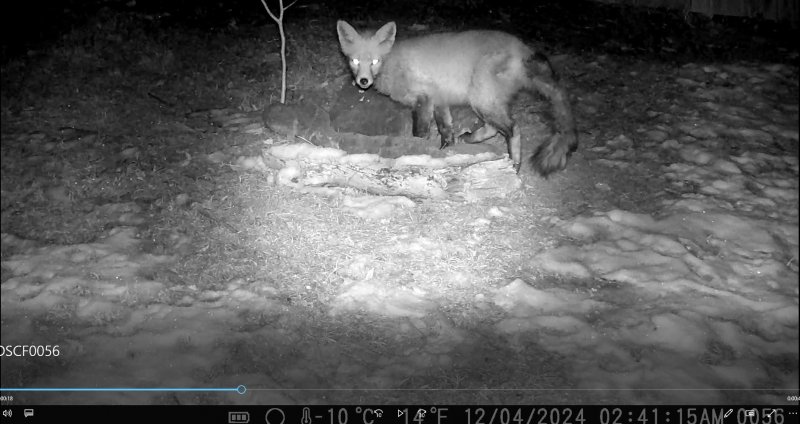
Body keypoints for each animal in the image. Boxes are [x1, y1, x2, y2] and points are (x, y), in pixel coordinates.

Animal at [336, 20, 578, 176]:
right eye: (355, 61)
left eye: (374, 61)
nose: (363, 81)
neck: (392, 63)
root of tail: (523, 49)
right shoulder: (439, 100)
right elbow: (446, 131)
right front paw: (445, 152)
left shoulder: (423, 99)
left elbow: (420, 133)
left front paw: (417, 154)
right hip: (487, 101)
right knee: (494, 128)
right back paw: (471, 139)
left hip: (480, 99)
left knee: (512, 128)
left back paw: (514, 165)